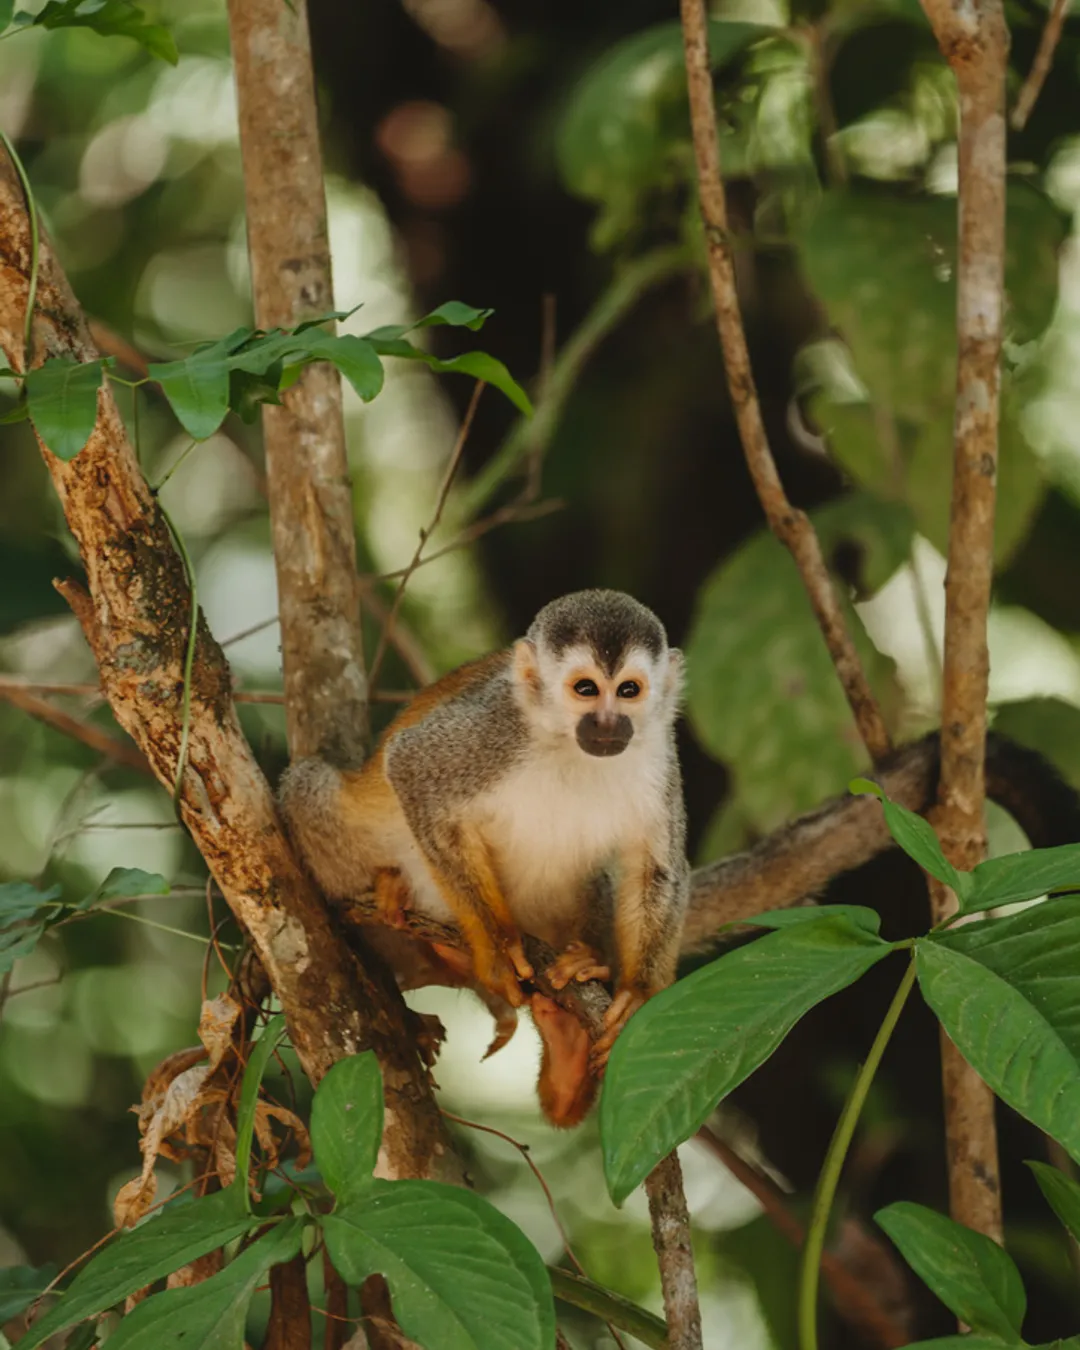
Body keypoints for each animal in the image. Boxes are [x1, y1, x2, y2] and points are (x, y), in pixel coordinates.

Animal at [276, 591, 683, 1128]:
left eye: (629, 690)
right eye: (586, 689)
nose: (608, 725)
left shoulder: (658, 756)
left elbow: (654, 869)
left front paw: (636, 994)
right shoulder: (495, 728)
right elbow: (410, 765)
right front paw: (498, 946)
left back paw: (569, 1038)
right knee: (310, 787)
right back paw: (421, 935)